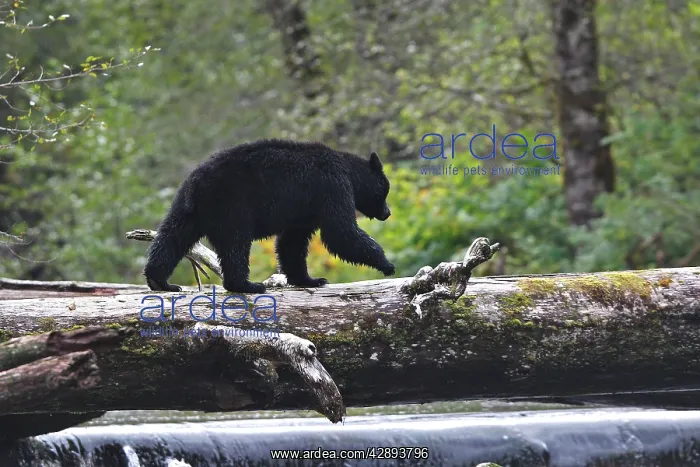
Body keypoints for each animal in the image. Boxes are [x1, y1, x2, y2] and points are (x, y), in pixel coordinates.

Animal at [143, 139, 395, 294]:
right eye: (385, 190)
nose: (387, 212)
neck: (349, 172)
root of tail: (196, 184)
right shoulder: (331, 188)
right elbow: (340, 232)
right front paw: (386, 263)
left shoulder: (304, 209)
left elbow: (292, 243)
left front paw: (311, 279)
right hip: (232, 206)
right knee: (236, 244)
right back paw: (246, 285)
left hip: (187, 210)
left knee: (172, 237)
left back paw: (159, 280)